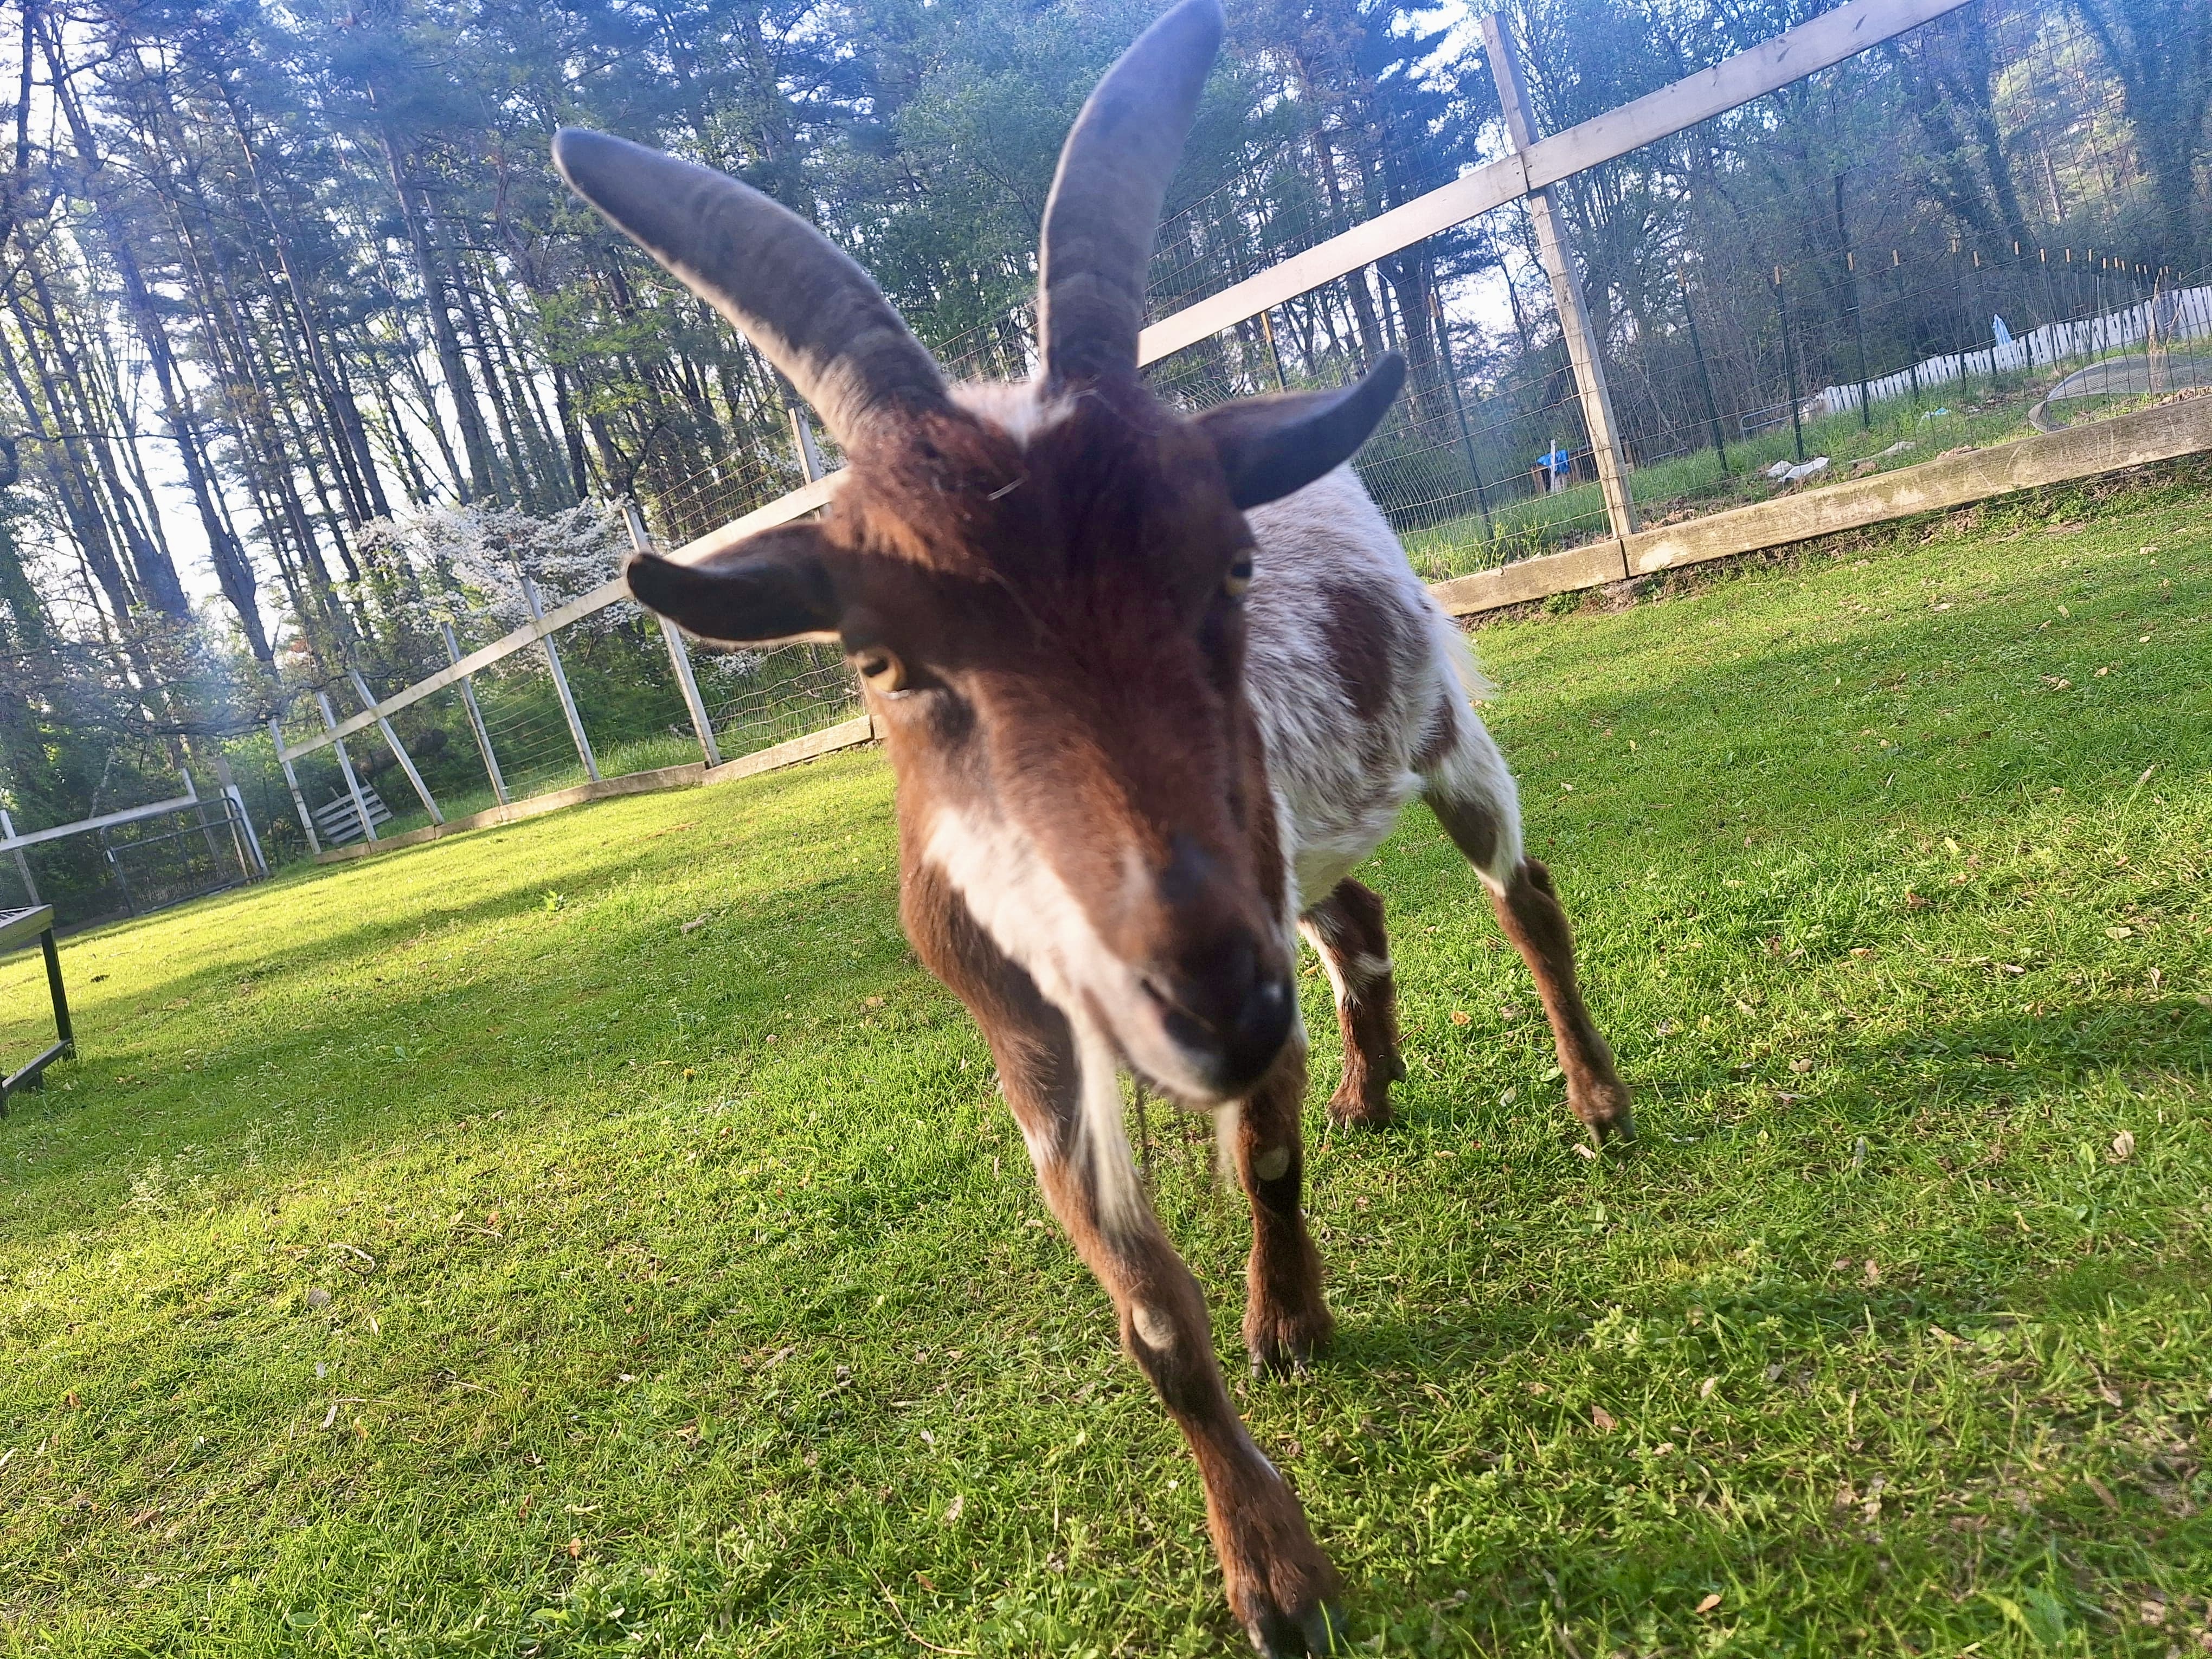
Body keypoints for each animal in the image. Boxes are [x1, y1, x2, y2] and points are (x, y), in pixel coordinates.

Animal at [555, 3, 1630, 1648]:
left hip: (1438, 733)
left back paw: (1595, 1098)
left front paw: (1288, 1322)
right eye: (881, 661)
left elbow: (1259, 1160)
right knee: (1358, 922)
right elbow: (1145, 1315)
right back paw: (1370, 1088)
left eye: (1227, 561)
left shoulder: (1239, 943)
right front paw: (1266, 1559)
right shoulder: (1031, 1040)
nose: (1202, 996)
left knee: (1526, 897)